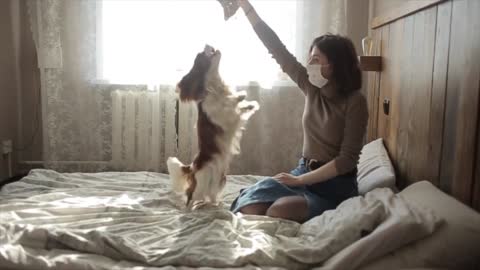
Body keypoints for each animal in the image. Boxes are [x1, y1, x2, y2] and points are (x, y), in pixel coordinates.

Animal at [168, 44, 258, 209]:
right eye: (201, 55)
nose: (206, 44)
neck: (215, 88)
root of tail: (193, 166)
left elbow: (238, 104)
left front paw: (247, 101)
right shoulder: (222, 116)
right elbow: (229, 106)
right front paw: (238, 99)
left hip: (218, 180)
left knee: (210, 196)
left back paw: (215, 205)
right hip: (202, 181)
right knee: (190, 195)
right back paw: (188, 209)